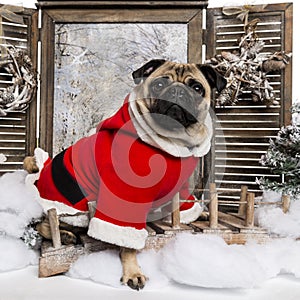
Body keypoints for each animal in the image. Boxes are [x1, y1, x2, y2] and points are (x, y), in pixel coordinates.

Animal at [23, 59, 226, 290]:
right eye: (158, 85)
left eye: (197, 88)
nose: (176, 91)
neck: (171, 143)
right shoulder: (127, 196)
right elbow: (127, 240)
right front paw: (133, 271)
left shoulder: (181, 187)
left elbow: (184, 205)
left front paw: (200, 213)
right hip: (71, 211)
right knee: (43, 224)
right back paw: (65, 236)